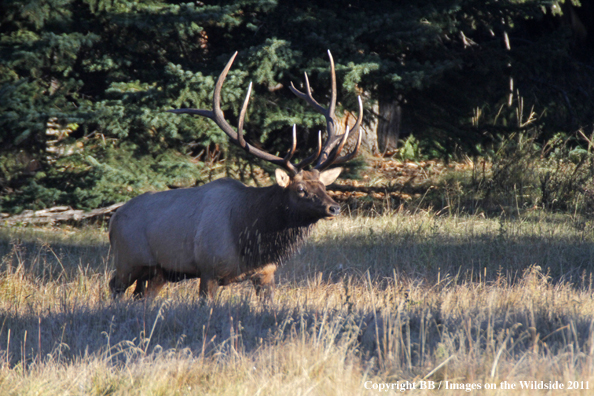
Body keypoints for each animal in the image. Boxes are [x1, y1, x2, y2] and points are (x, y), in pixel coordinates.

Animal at [108, 51, 364, 300]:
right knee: (114, 287)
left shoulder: (266, 273)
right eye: (300, 189)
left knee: (143, 296)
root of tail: (113, 218)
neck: (251, 239)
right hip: (127, 260)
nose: (334, 208)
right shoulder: (208, 269)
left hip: (159, 271)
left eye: (324, 186)